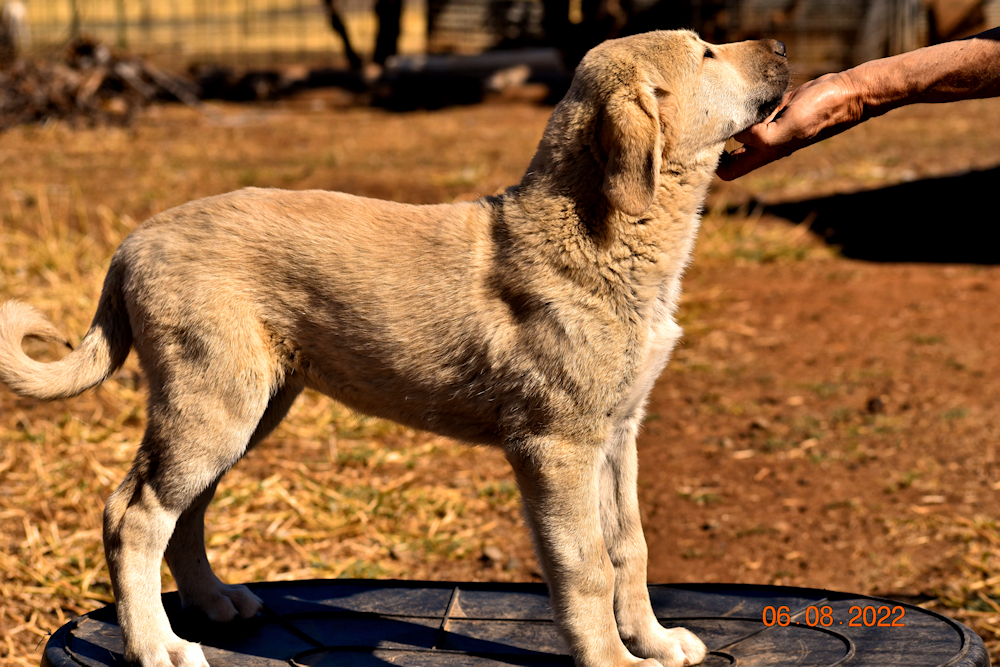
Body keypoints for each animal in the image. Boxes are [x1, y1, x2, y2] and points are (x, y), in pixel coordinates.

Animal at [0, 30, 788, 667]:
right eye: (707, 53)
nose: (782, 46)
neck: (598, 232)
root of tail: (132, 242)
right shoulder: (555, 446)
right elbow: (587, 563)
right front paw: (612, 660)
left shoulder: (617, 433)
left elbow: (630, 546)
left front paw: (653, 641)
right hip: (212, 405)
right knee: (133, 516)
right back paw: (156, 645)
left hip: (244, 408)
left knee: (182, 511)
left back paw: (214, 604)